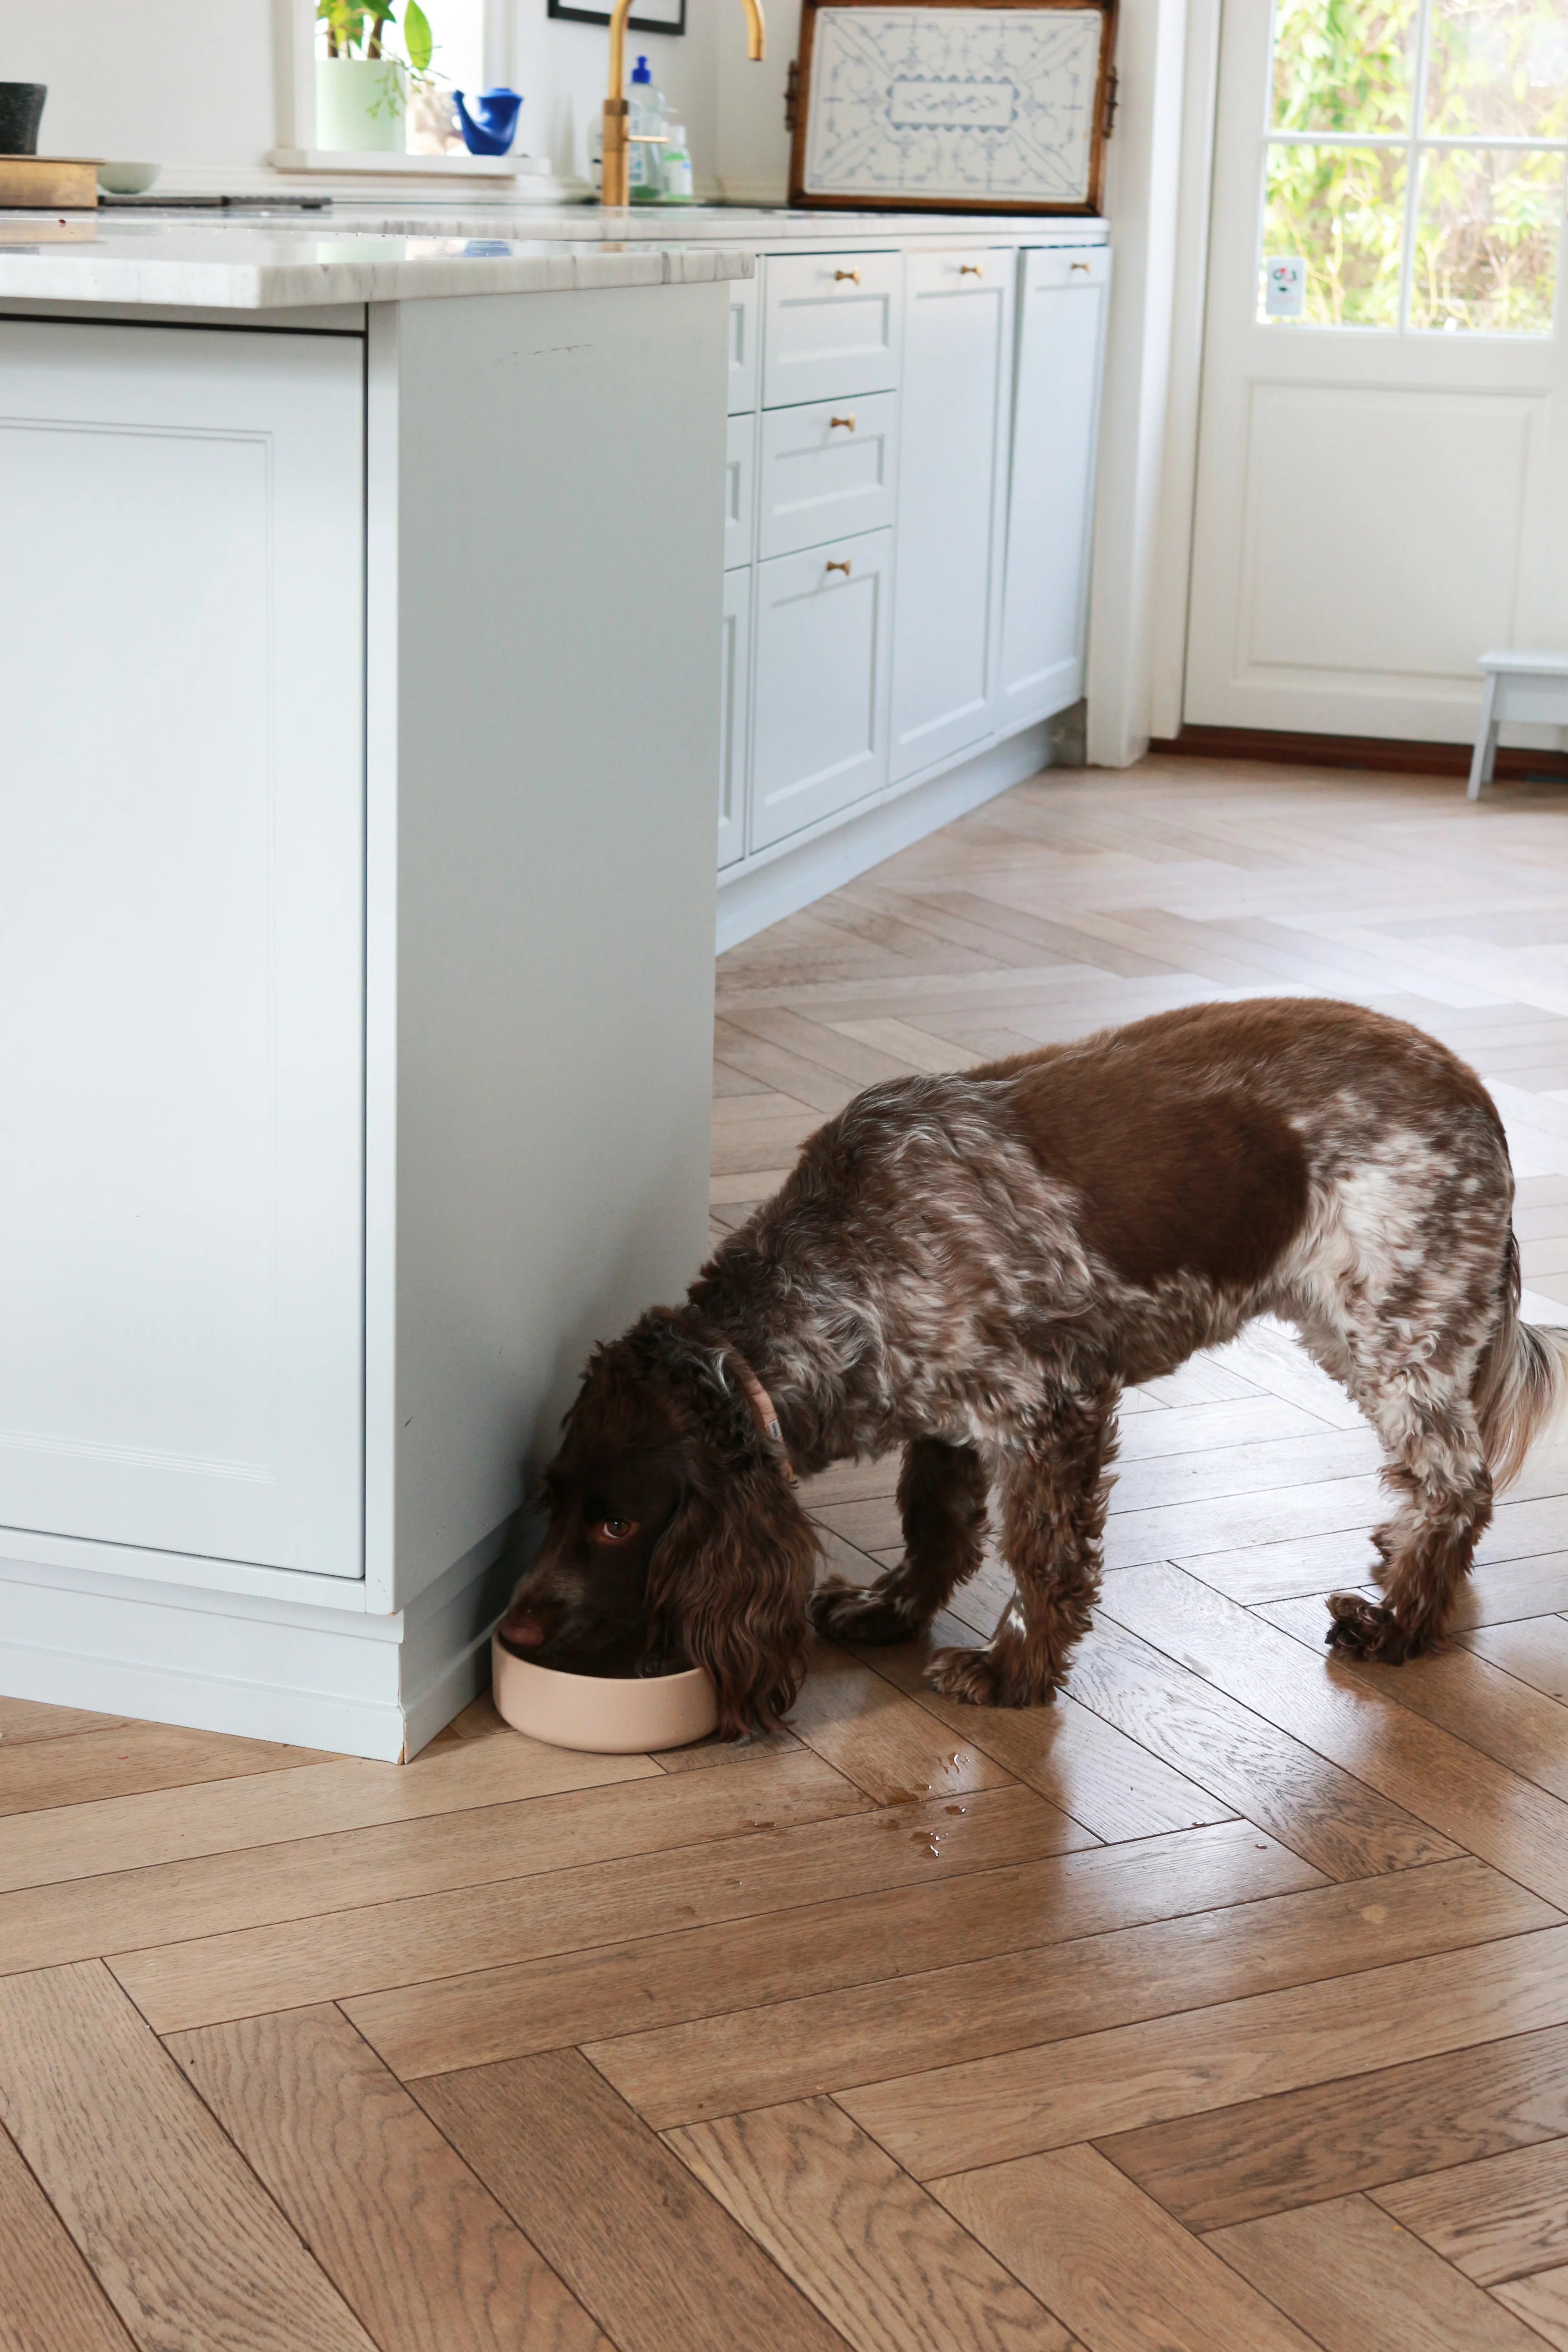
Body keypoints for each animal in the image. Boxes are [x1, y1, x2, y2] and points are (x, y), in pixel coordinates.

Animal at [496, 1002, 1561, 1740]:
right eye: (553, 1501)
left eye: (618, 1524)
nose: (511, 1637)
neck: (837, 1260)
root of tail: (1476, 1095)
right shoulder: (942, 1410)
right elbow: (934, 1525)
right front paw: (891, 1610)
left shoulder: (1054, 1409)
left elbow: (1043, 1557)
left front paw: (1012, 1673)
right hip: (1352, 1328)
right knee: (1436, 1476)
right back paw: (1399, 1557)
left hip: (1395, 1329)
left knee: (1460, 1481)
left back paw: (1400, 1623)